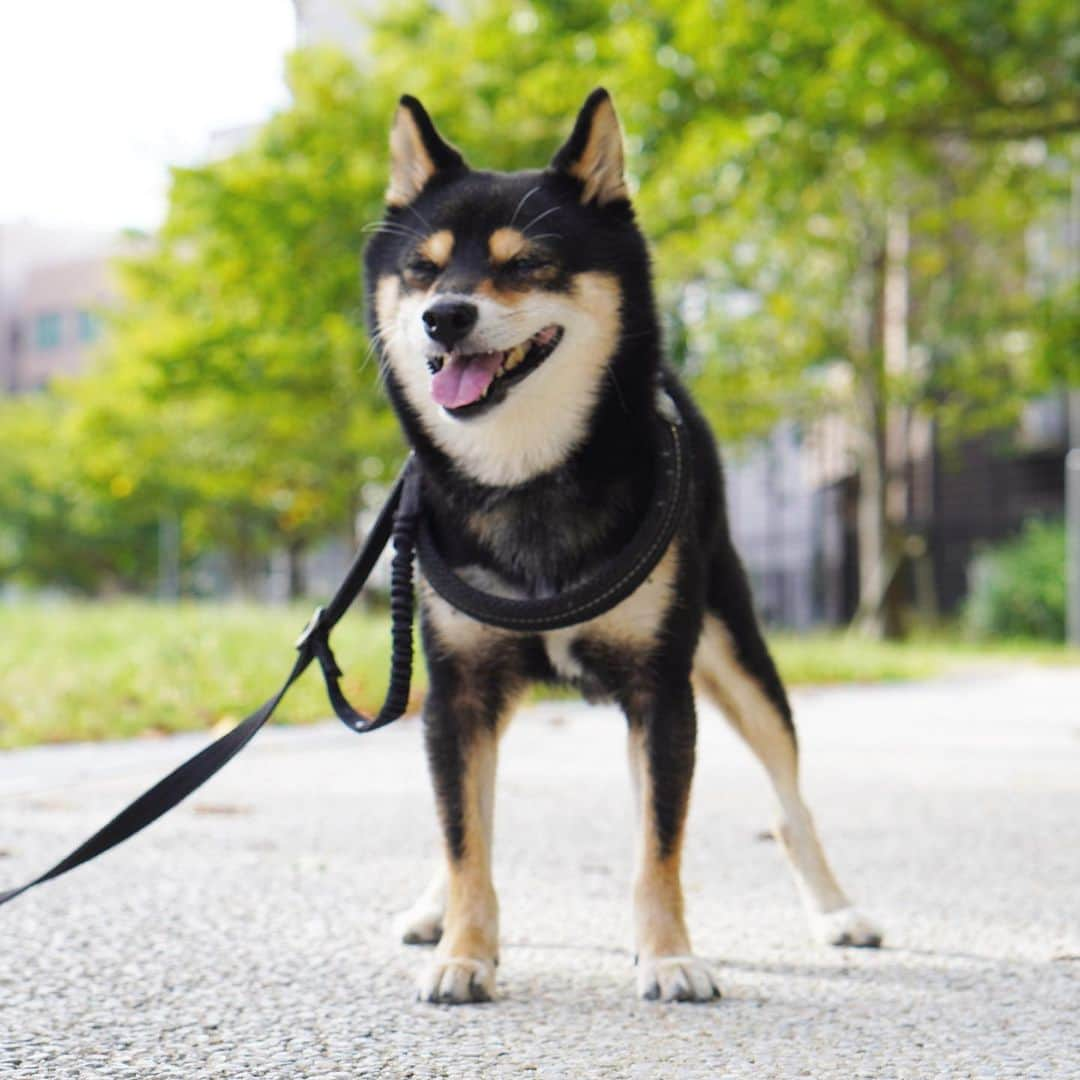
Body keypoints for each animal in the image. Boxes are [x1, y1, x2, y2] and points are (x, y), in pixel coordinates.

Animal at [367, 90, 881, 1002]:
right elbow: (465, 836)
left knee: (789, 802)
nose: (443, 316)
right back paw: (434, 910)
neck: (527, 481)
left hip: (738, 657)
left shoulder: (660, 693)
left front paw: (669, 955)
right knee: (464, 819)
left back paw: (836, 911)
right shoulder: (457, 691)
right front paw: (464, 951)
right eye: (423, 270)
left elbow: (657, 847)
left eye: (528, 264)